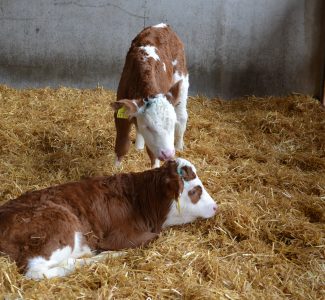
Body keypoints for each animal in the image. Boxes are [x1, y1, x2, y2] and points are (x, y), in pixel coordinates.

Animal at [0, 158, 218, 278]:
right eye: (195, 190)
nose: (216, 206)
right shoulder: (121, 236)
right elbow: (152, 238)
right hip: (59, 227)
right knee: (37, 271)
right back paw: (106, 256)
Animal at [112, 23, 189, 168]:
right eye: (148, 127)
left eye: (172, 124)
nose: (168, 154)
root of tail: (163, 25)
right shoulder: (121, 111)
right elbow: (122, 144)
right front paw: (116, 167)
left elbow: (153, 155)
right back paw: (139, 146)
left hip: (182, 78)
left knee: (182, 116)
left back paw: (179, 145)